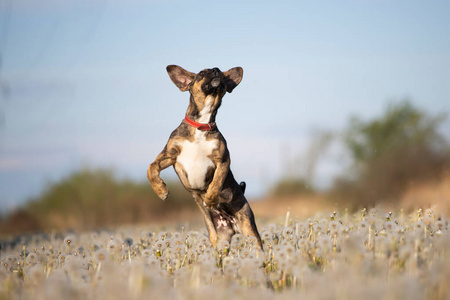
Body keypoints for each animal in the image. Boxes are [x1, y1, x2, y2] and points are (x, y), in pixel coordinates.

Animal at [148, 65, 262, 248]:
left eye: (221, 72)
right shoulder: (169, 155)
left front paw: (209, 198)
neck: (201, 125)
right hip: (218, 239)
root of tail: (231, 226)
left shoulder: (223, 160)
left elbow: (216, 181)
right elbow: (151, 168)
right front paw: (161, 190)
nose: (216, 70)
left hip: (250, 231)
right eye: (202, 73)